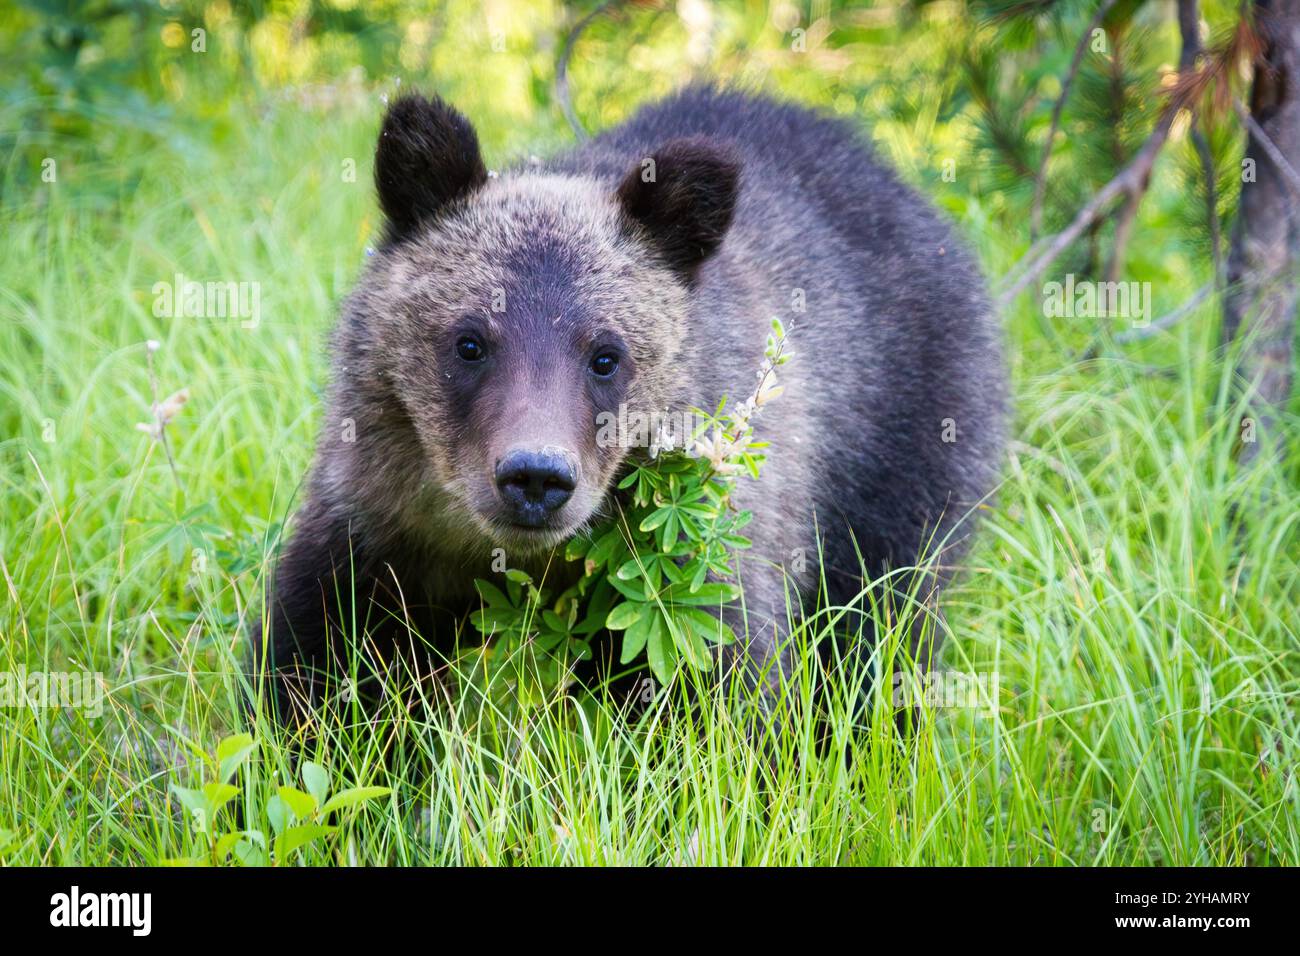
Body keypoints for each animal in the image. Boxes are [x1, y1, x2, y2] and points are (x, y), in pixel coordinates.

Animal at [250, 85, 1003, 728]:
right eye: (469, 341)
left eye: (605, 355)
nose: (535, 477)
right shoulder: (380, 533)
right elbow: (324, 670)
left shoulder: (692, 570)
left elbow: (719, 693)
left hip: (898, 450)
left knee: (879, 629)